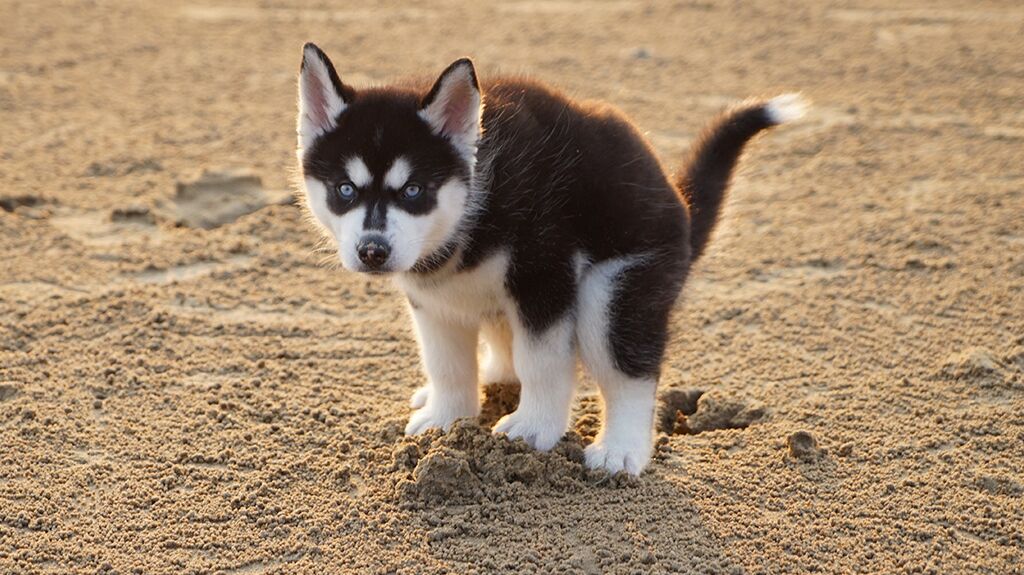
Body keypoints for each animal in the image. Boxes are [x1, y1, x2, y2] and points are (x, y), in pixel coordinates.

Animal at [296, 43, 806, 474]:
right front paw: (447, 417)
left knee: (629, 373)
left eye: (413, 190)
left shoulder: (544, 277)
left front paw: (533, 428)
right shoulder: (433, 301)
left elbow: (542, 361)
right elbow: (446, 363)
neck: (475, 201)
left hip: (617, 290)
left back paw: (621, 449)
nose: (373, 251)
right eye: (345, 189)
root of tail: (680, 205)